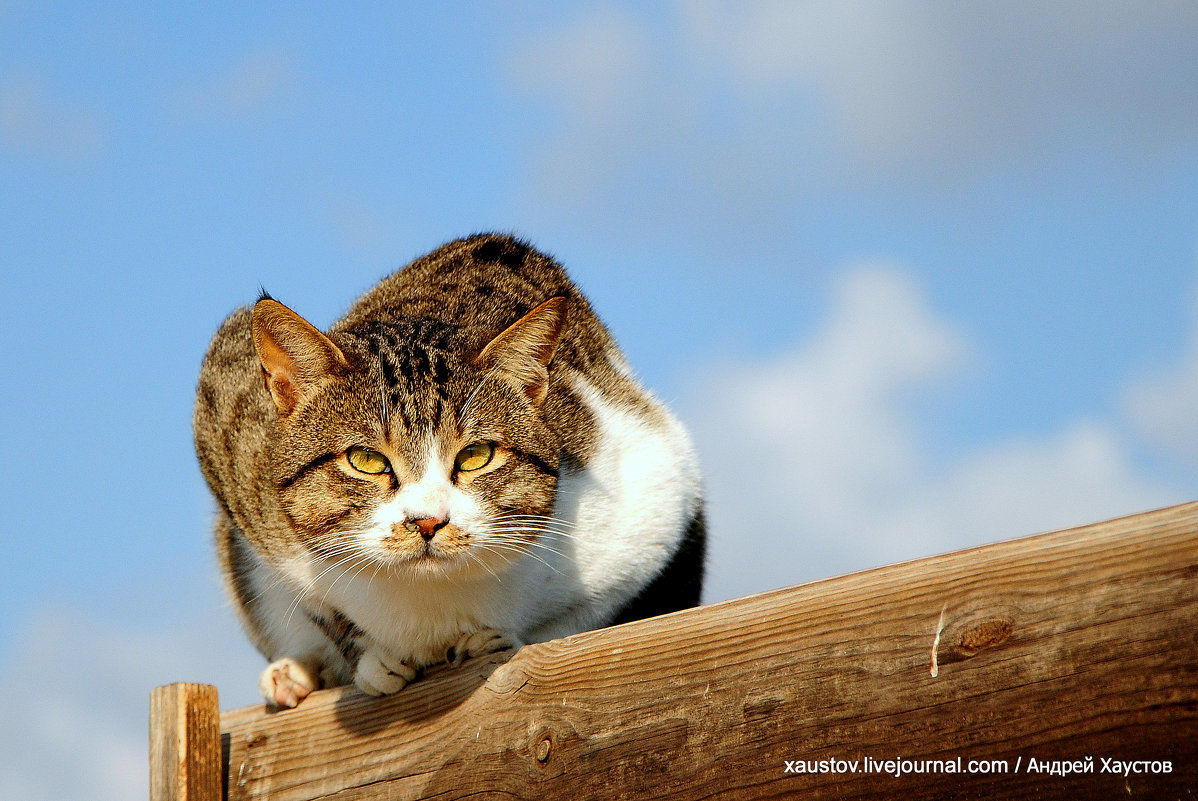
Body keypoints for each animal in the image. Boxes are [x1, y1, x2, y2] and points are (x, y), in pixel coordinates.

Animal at [191, 232, 704, 704]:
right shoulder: (231, 429)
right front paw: (371, 658)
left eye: (475, 455)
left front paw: (498, 639)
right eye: (366, 460)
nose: (428, 521)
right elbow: (323, 605)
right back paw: (294, 673)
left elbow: (583, 621)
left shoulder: (655, 498)